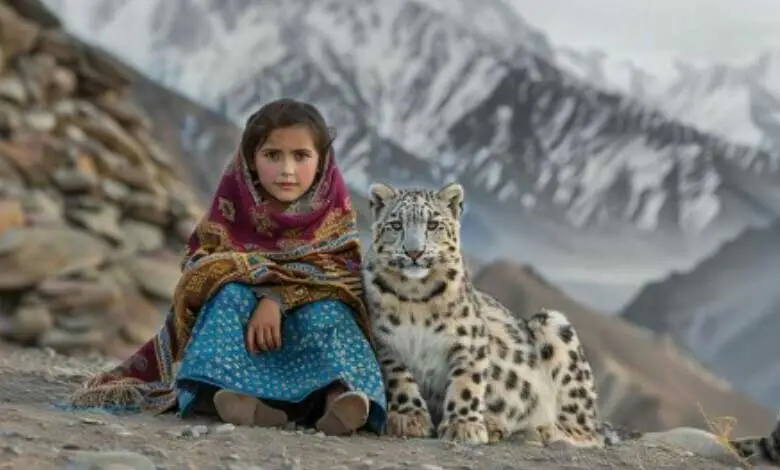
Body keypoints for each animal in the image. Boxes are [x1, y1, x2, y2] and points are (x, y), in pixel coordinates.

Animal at [362, 181, 609, 446]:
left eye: (433, 224)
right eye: (396, 224)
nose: (414, 252)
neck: (414, 297)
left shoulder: (469, 341)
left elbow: (466, 382)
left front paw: (464, 425)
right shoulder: (386, 344)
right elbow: (399, 379)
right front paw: (409, 418)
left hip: (555, 329)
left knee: (586, 430)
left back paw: (539, 430)